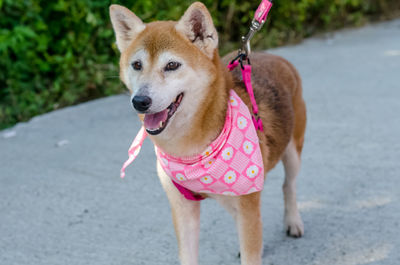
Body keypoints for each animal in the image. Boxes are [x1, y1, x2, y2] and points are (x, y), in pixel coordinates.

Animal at [109, 2, 306, 264]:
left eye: (172, 65)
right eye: (137, 65)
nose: (140, 101)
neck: (192, 151)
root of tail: (273, 56)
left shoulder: (247, 202)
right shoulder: (184, 209)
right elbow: (189, 255)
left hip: (292, 153)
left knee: (289, 186)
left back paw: (293, 221)